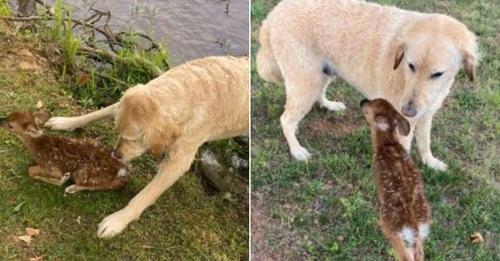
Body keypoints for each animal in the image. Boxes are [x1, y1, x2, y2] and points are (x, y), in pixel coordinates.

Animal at [46, 55, 249, 237]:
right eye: (118, 130)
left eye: (134, 139)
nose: (115, 154)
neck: (189, 90)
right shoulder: (122, 104)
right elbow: (96, 113)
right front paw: (64, 122)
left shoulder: (177, 162)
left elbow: (145, 196)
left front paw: (117, 221)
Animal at [256, 0, 478, 171]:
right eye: (411, 65)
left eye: (437, 74)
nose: (408, 110)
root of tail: (275, 12)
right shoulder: (402, 126)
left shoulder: (425, 115)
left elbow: (425, 143)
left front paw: (430, 162)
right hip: (306, 82)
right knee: (286, 120)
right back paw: (296, 151)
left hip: (323, 73)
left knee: (318, 95)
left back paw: (329, 105)